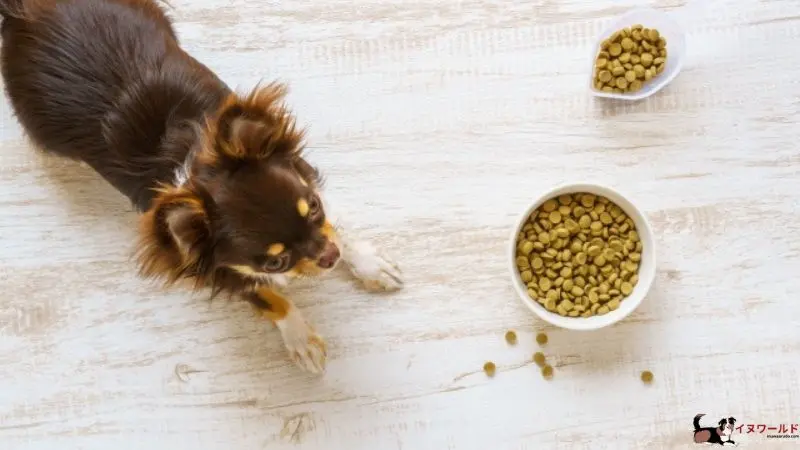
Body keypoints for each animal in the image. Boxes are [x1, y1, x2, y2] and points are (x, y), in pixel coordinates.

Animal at [0, 0, 400, 372]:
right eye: (275, 262)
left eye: (313, 207)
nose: (330, 257)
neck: (194, 167)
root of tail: (24, 11)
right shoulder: (215, 270)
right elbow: (269, 299)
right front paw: (299, 337)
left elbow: (340, 225)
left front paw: (369, 264)